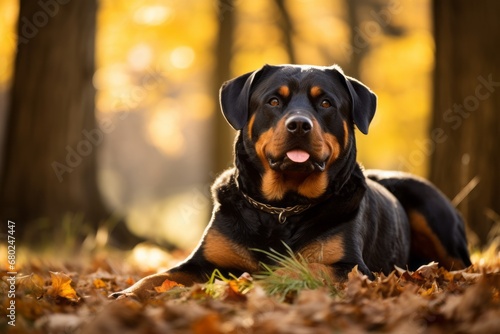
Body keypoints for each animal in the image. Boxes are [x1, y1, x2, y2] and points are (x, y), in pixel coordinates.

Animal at [110, 64, 472, 298]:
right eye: (274, 101)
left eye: (325, 102)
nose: (299, 124)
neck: (281, 208)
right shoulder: (204, 260)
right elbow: (160, 275)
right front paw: (127, 293)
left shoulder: (349, 266)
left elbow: (293, 268)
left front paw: (254, 282)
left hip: (432, 208)